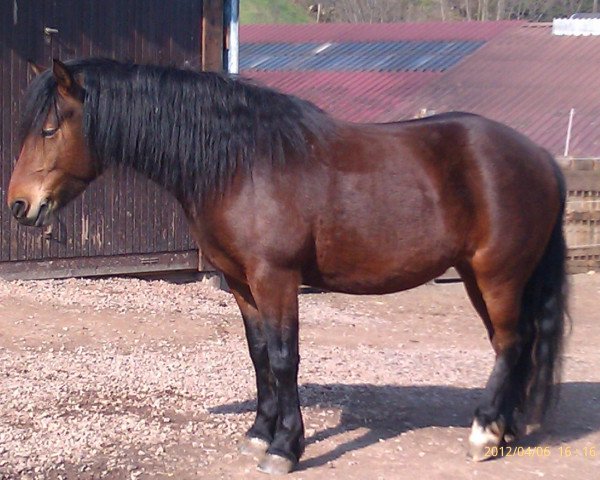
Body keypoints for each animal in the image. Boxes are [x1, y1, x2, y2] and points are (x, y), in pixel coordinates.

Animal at [8, 58, 568, 474]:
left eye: (49, 128)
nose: (18, 205)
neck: (242, 165)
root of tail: (539, 157)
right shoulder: (240, 282)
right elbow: (258, 357)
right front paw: (259, 434)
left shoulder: (275, 277)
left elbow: (283, 358)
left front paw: (285, 448)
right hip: (482, 277)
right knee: (515, 345)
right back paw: (505, 430)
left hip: (498, 275)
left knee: (510, 343)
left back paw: (483, 432)